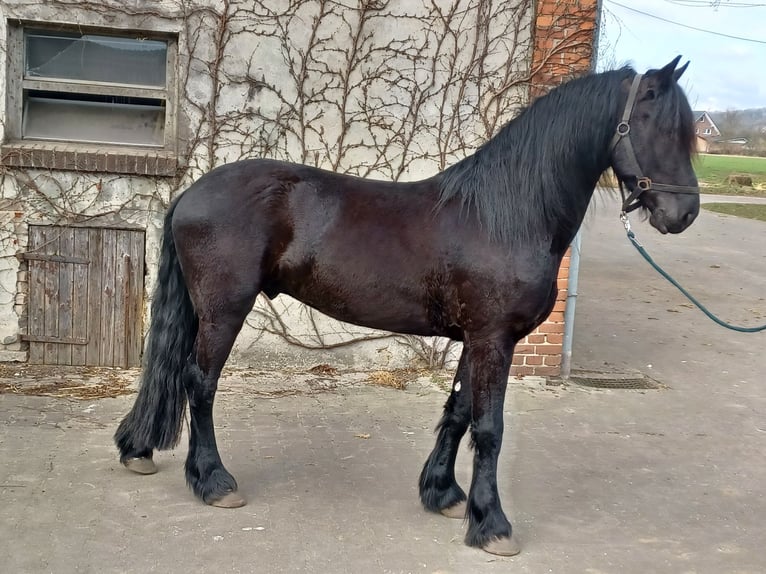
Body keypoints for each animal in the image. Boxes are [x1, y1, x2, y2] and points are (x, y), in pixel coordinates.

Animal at [112, 58, 704, 560]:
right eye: (652, 123)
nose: (684, 214)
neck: (506, 214)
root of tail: (191, 193)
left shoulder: (478, 338)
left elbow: (459, 412)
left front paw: (444, 495)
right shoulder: (494, 339)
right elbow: (490, 428)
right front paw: (493, 526)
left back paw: (140, 450)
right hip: (224, 309)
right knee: (200, 383)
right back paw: (213, 481)